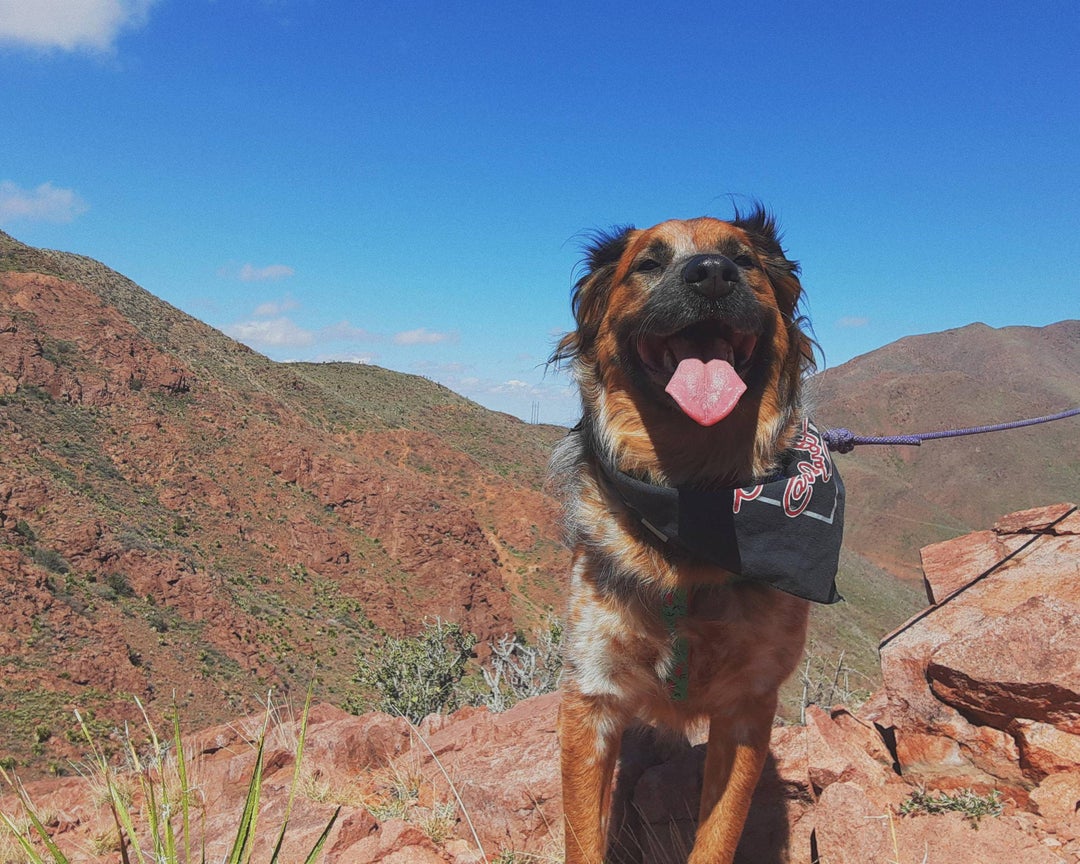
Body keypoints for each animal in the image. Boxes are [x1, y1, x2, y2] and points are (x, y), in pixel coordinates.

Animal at [548, 206, 842, 859]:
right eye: (649, 263)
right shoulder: (592, 695)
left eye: (744, 259)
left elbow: (718, 835)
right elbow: (583, 837)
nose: (711, 274)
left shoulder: (749, 706)